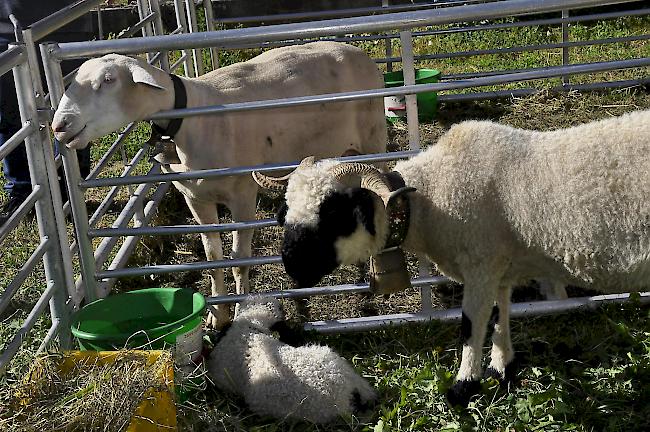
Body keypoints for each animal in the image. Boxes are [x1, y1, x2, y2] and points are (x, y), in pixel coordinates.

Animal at [52, 41, 384, 328]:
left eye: (108, 80)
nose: (59, 126)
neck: (192, 120)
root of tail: (357, 51)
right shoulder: (196, 199)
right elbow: (212, 260)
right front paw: (217, 315)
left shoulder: (243, 196)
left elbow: (239, 260)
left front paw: (241, 312)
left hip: (372, 140)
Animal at [252, 109, 648, 406]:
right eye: (285, 212)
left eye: (335, 213)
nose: (293, 266)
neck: (430, 202)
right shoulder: (498, 266)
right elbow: (500, 314)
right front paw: (502, 369)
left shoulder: (479, 264)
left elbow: (471, 326)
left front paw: (462, 388)